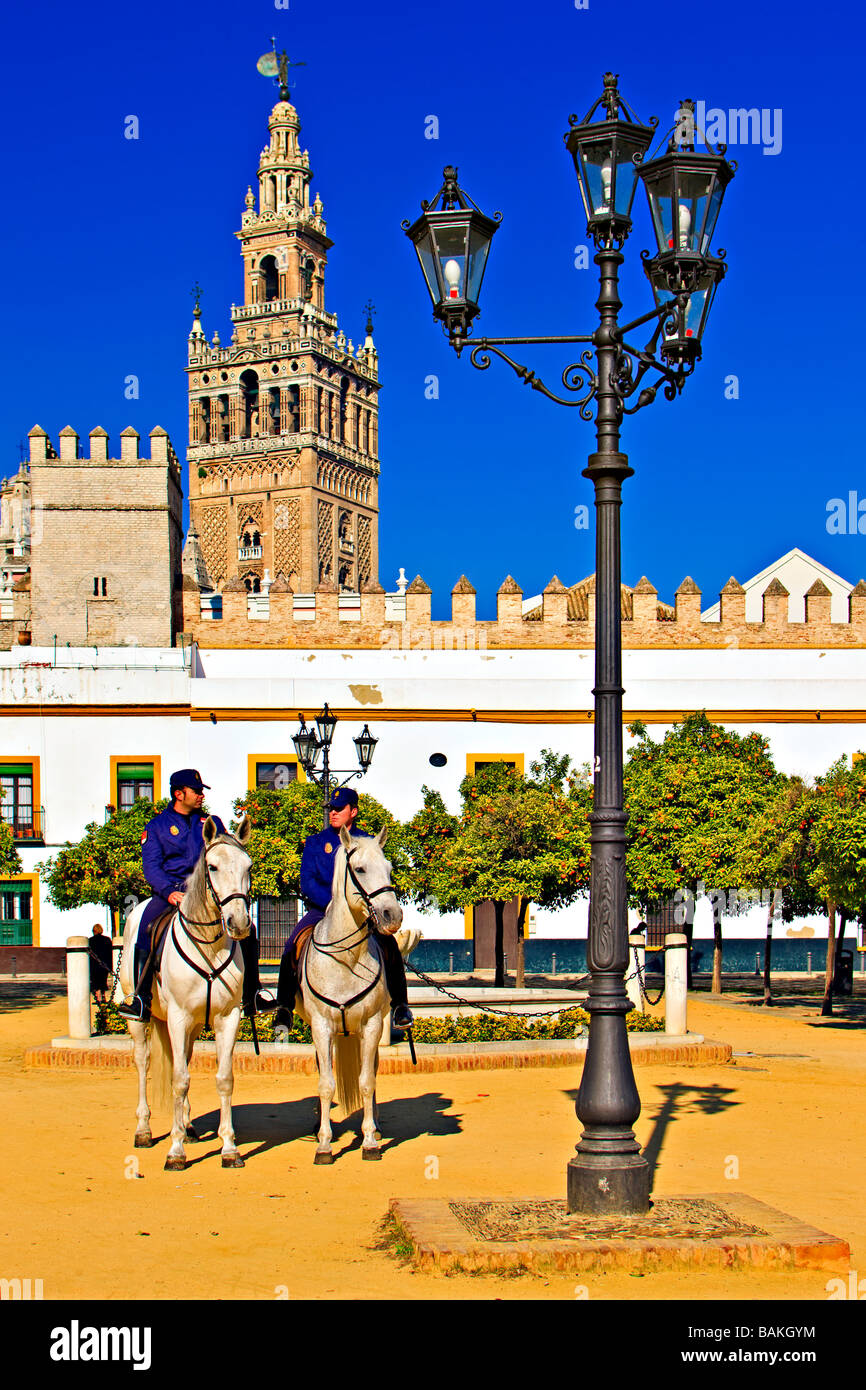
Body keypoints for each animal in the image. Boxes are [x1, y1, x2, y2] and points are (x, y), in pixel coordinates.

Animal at [115, 811, 252, 1173]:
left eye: (248, 866)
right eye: (213, 867)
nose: (239, 923)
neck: (209, 947)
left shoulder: (227, 1018)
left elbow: (224, 1078)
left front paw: (229, 1148)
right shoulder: (176, 1017)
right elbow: (179, 1079)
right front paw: (175, 1152)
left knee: (183, 1060)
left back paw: (187, 1126)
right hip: (139, 1020)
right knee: (144, 1063)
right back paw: (145, 1130)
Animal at [294, 822, 405, 1162]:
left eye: (389, 868)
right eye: (359, 869)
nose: (392, 916)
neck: (346, 959)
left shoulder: (371, 1025)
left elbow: (367, 1081)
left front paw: (369, 1140)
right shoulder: (321, 1026)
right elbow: (326, 1083)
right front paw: (324, 1144)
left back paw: (376, 1125)